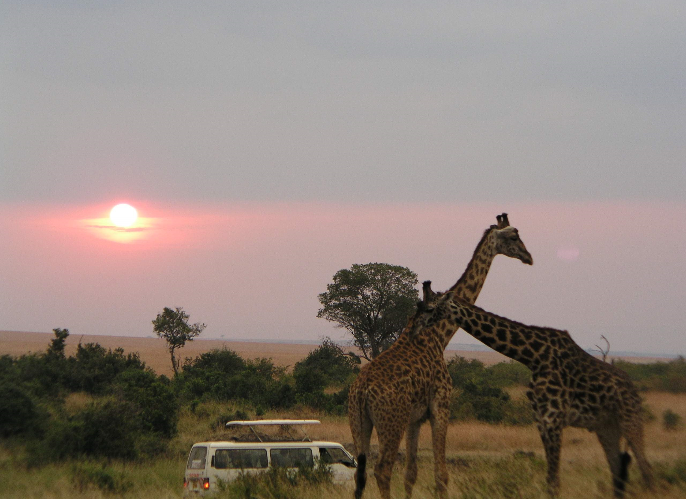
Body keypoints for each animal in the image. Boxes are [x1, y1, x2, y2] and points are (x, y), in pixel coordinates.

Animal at [352, 216, 536, 499]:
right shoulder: (441, 404)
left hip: (359, 423)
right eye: (514, 236)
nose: (528, 257)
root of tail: (362, 390)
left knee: (359, 474)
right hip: (391, 421)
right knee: (382, 469)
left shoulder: (415, 417)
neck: (441, 334)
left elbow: (411, 474)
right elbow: (441, 475)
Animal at [414, 294, 656, 498]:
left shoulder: (554, 418)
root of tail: (633, 390)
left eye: (430, 308)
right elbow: (550, 479)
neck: (534, 357)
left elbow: (554, 481)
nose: (415, 329)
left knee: (646, 468)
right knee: (617, 471)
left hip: (629, 419)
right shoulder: (541, 419)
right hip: (606, 427)